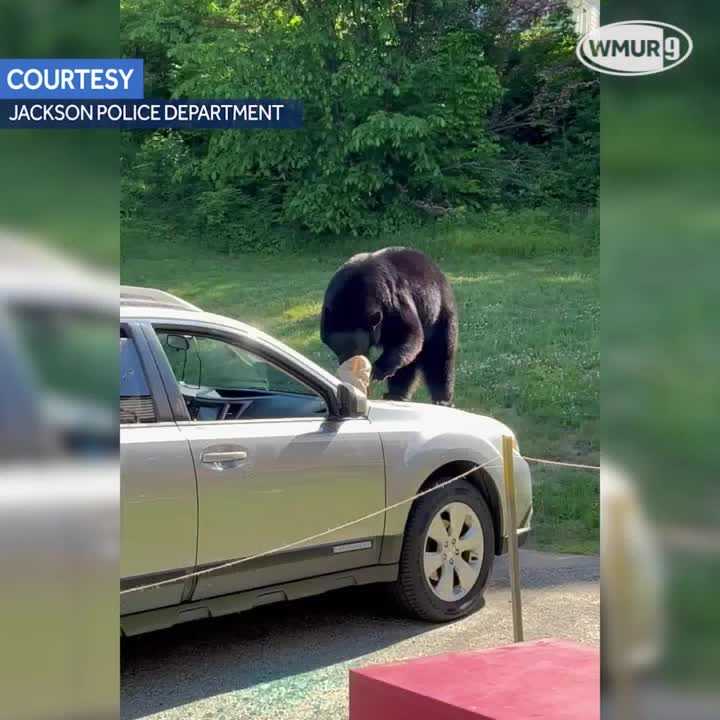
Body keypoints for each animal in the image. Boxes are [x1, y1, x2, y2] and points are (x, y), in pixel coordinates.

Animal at [320, 248, 456, 404]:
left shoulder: (393, 301)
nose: (347, 364)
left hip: (439, 314)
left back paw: (442, 399)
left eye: (355, 347)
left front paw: (377, 370)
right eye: (338, 347)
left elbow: (408, 332)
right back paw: (396, 394)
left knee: (440, 356)